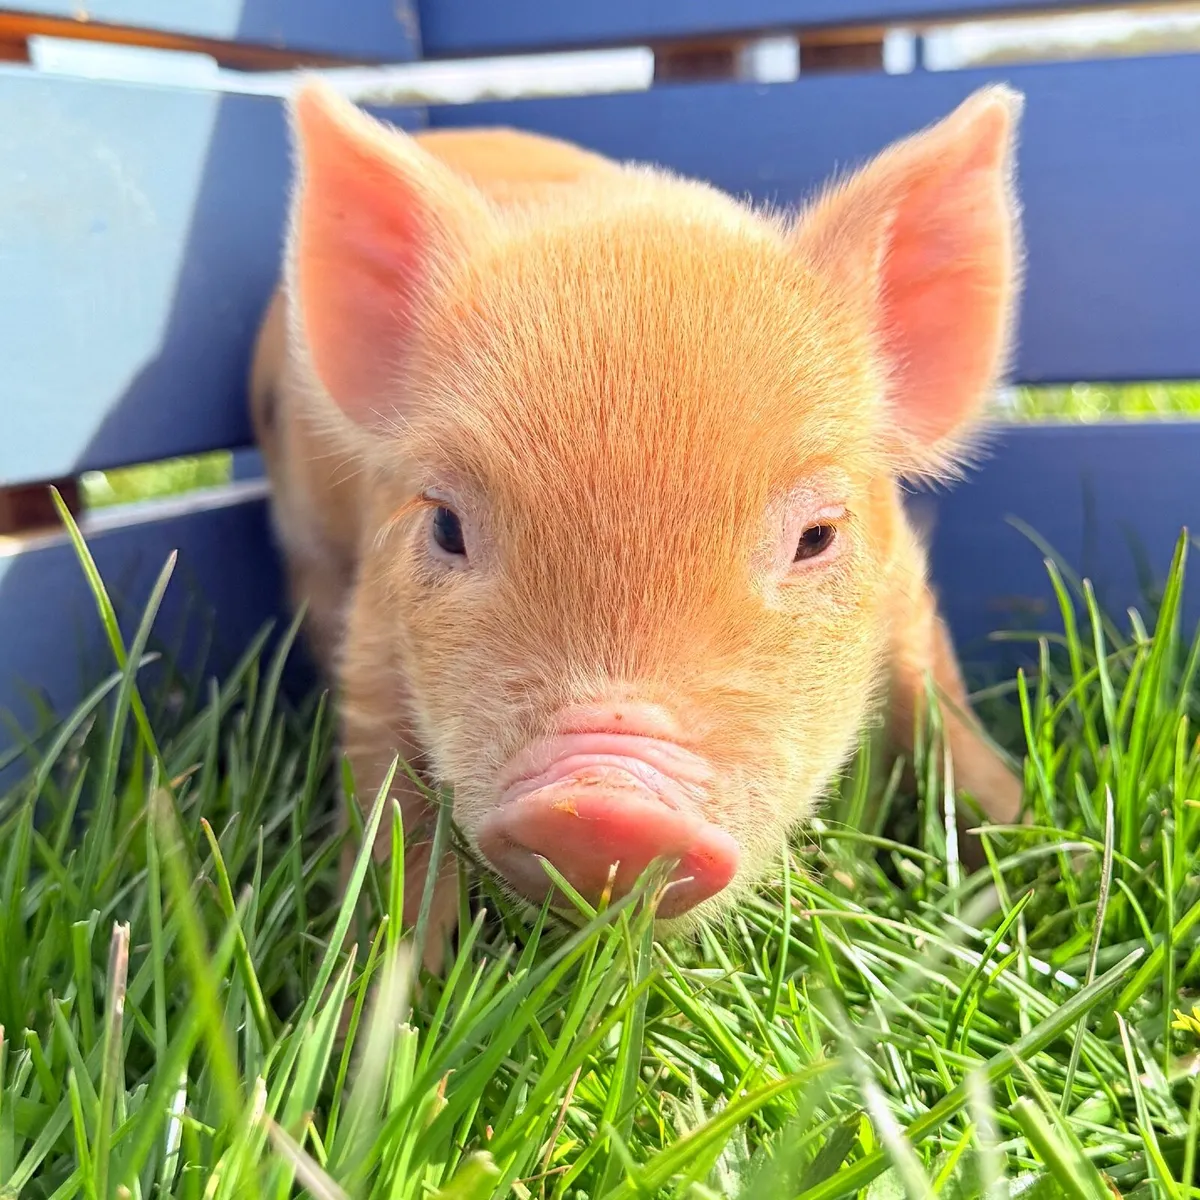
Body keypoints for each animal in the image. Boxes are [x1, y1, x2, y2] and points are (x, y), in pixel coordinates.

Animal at [249, 79, 1025, 966]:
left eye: (817, 537)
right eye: (446, 525)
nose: (604, 807)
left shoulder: (904, 583)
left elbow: (937, 701)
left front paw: (1036, 844)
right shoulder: (375, 620)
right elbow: (388, 804)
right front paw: (383, 984)